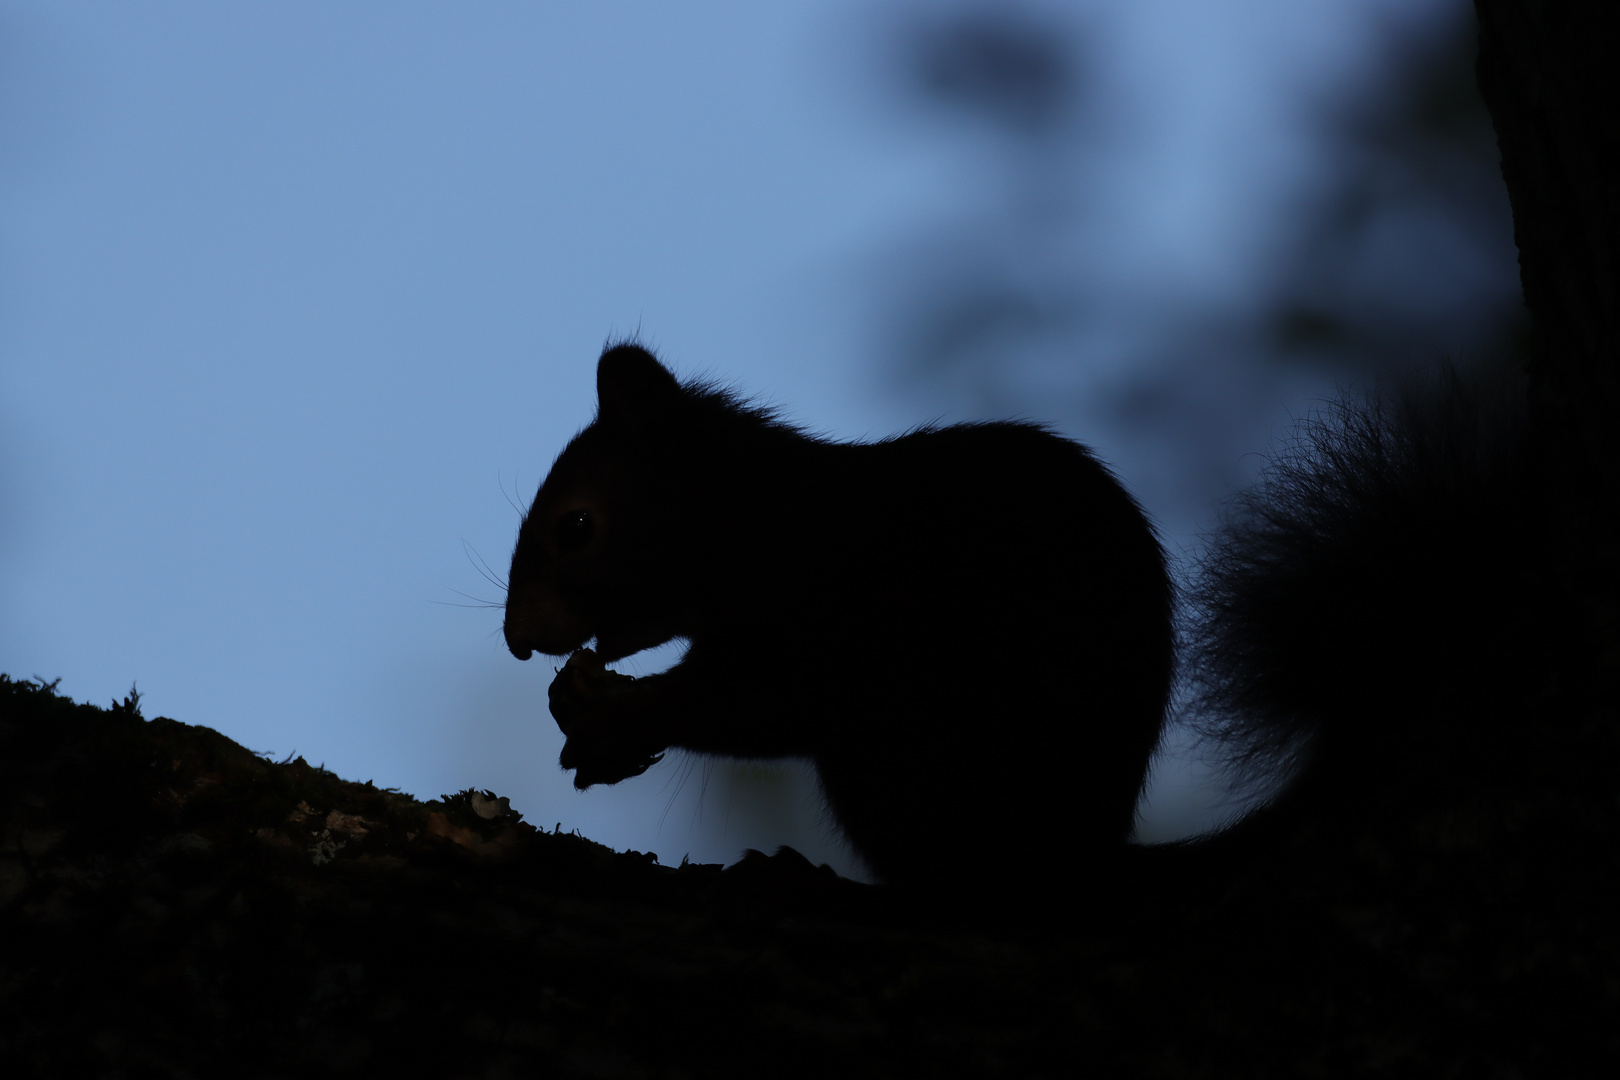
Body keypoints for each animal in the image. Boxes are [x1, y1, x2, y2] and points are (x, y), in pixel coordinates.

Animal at [502, 344, 1594, 893]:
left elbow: (757, 701)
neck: (753, 515)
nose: (517, 636)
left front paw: (619, 718)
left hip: (912, 750)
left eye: (576, 527)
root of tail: (1082, 847)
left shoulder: (821, 607)